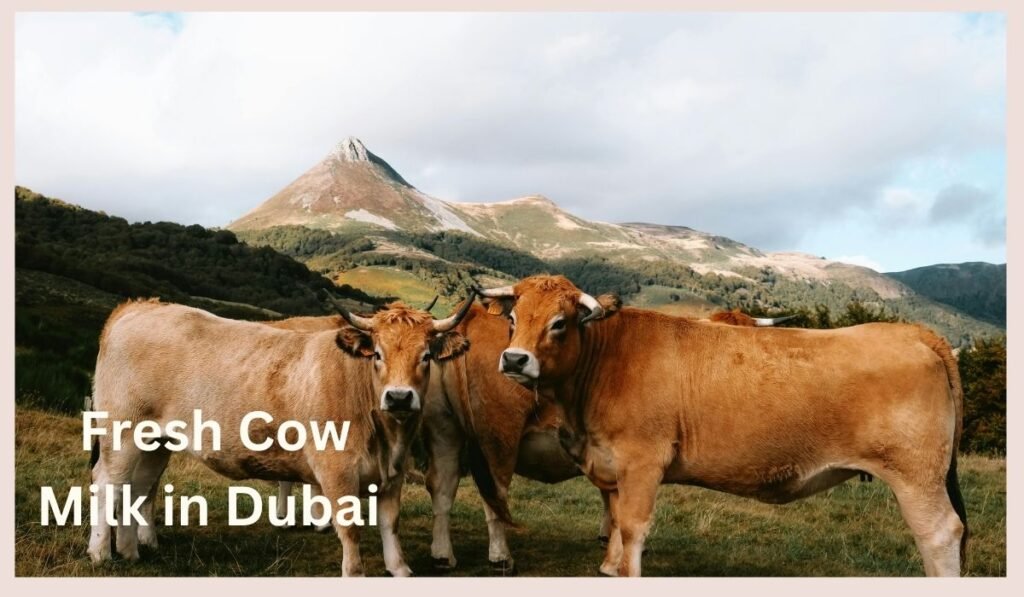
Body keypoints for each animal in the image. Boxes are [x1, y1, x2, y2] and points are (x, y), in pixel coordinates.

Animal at [88, 295, 474, 576]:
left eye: (426, 356)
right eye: (377, 354)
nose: (398, 397)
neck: (386, 436)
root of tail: (141, 306)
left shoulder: (392, 473)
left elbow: (390, 523)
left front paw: (400, 570)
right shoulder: (336, 470)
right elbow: (349, 527)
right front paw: (354, 573)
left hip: (155, 440)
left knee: (137, 487)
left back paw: (130, 550)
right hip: (122, 430)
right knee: (108, 483)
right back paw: (100, 553)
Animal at [478, 275, 967, 577]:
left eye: (559, 323)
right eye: (513, 319)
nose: (515, 359)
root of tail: (911, 332)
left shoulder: (642, 462)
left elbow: (633, 529)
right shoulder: (612, 465)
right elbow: (615, 525)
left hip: (917, 474)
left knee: (940, 534)